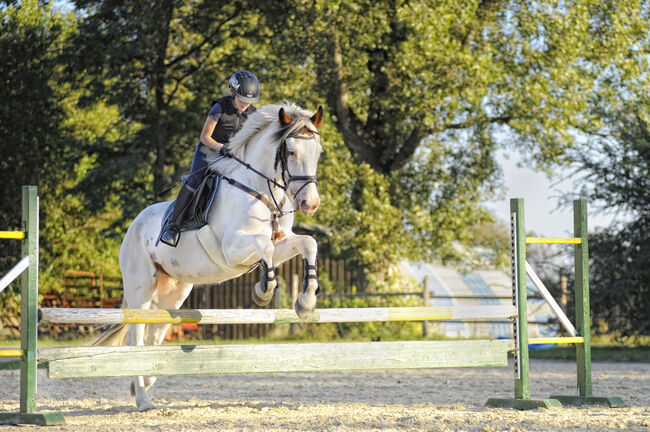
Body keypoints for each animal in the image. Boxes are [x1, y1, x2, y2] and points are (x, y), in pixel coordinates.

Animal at [93, 102, 322, 412]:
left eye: (318, 152)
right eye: (291, 152)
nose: (310, 204)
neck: (260, 190)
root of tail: (134, 225)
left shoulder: (284, 241)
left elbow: (308, 243)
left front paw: (306, 303)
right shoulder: (233, 249)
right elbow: (265, 247)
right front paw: (263, 290)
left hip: (174, 292)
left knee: (156, 334)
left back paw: (146, 381)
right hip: (140, 288)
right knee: (136, 338)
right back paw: (142, 399)